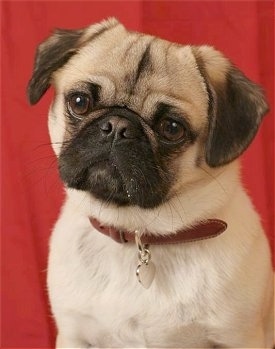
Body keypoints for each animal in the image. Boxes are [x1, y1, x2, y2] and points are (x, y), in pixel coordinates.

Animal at [27, 18, 274, 346]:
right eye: (79, 102)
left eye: (171, 128)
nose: (117, 126)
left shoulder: (239, 337)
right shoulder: (74, 334)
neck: (138, 232)